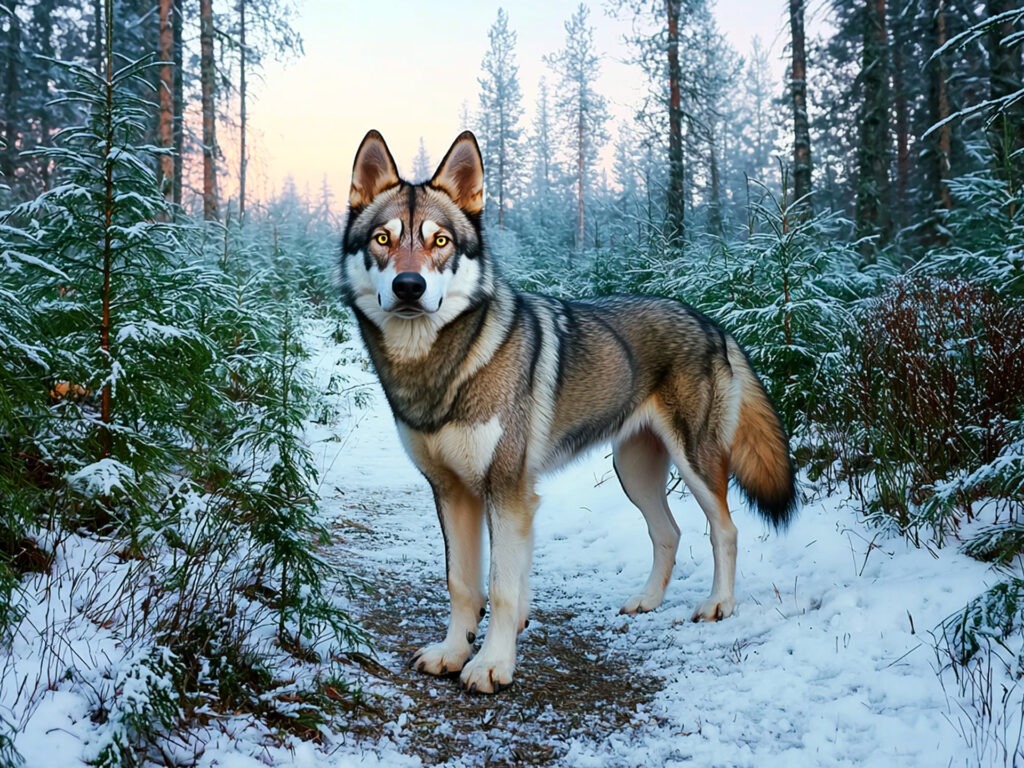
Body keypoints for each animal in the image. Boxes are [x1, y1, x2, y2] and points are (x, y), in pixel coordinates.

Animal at [339, 132, 794, 696]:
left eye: (440, 241)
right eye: (383, 238)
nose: (408, 286)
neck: (441, 367)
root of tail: (713, 322)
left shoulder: (508, 491)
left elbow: (501, 587)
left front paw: (491, 665)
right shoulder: (451, 491)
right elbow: (462, 582)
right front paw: (452, 652)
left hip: (695, 467)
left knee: (724, 530)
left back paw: (718, 605)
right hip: (634, 472)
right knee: (668, 533)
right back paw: (647, 601)